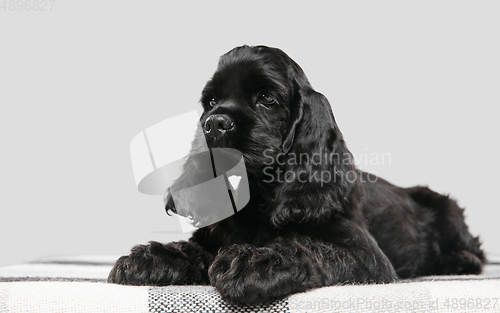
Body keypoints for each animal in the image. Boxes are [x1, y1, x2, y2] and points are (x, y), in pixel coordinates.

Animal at [108, 45, 484, 304]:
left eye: (266, 98)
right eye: (211, 102)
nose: (213, 124)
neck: (260, 196)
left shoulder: (366, 255)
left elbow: (304, 245)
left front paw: (251, 262)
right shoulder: (214, 237)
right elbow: (194, 249)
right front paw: (150, 258)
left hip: (447, 208)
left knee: (475, 250)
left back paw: (457, 260)